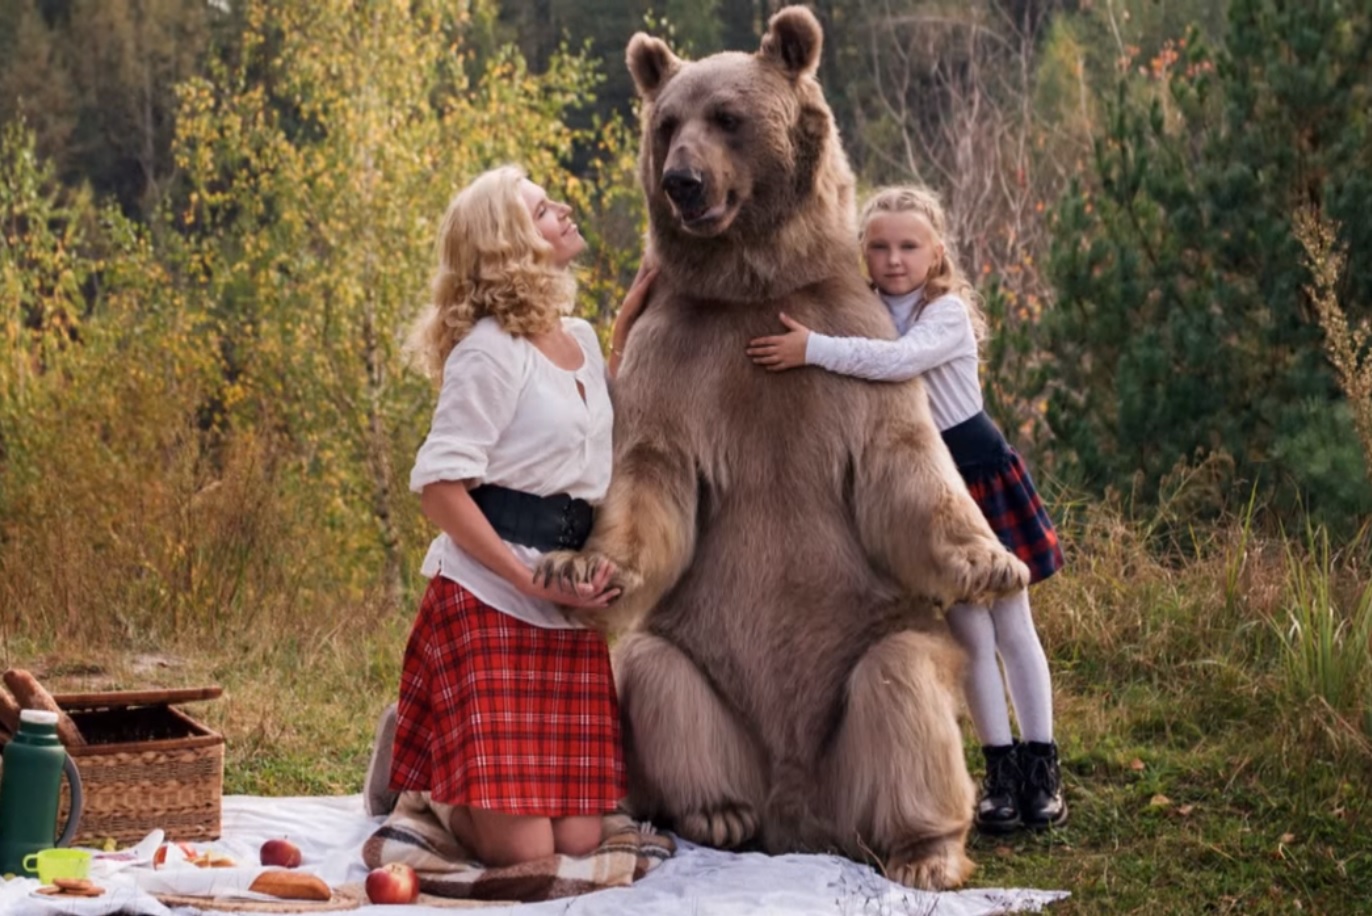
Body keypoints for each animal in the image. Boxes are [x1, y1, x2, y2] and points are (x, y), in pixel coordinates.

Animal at [535, 3, 1031, 888]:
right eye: (668, 124)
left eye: (729, 117)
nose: (683, 181)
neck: (754, 290)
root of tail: (799, 819)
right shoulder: (677, 358)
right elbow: (651, 478)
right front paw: (580, 568)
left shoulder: (848, 342)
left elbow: (902, 465)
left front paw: (991, 560)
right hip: (700, 662)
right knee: (658, 679)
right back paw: (718, 814)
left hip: (870, 653)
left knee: (903, 696)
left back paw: (926, 852)